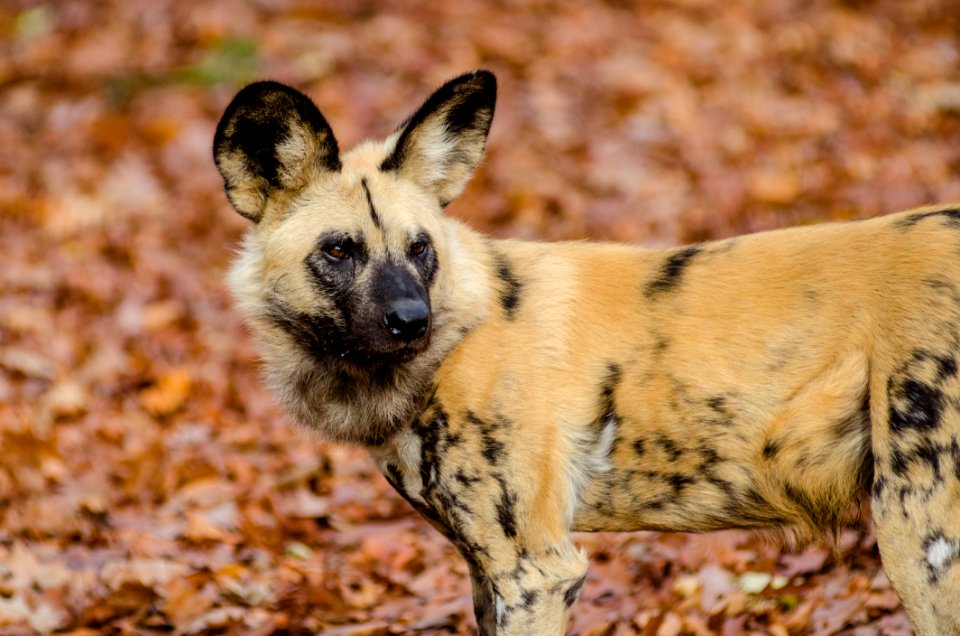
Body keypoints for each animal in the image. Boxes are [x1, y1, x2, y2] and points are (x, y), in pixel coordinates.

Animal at [216, 72, 960, 632]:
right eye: (339, 251)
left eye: (419, 247)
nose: (411, 321)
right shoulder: (488, 571)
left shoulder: (536, 572)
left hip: (918, 539)